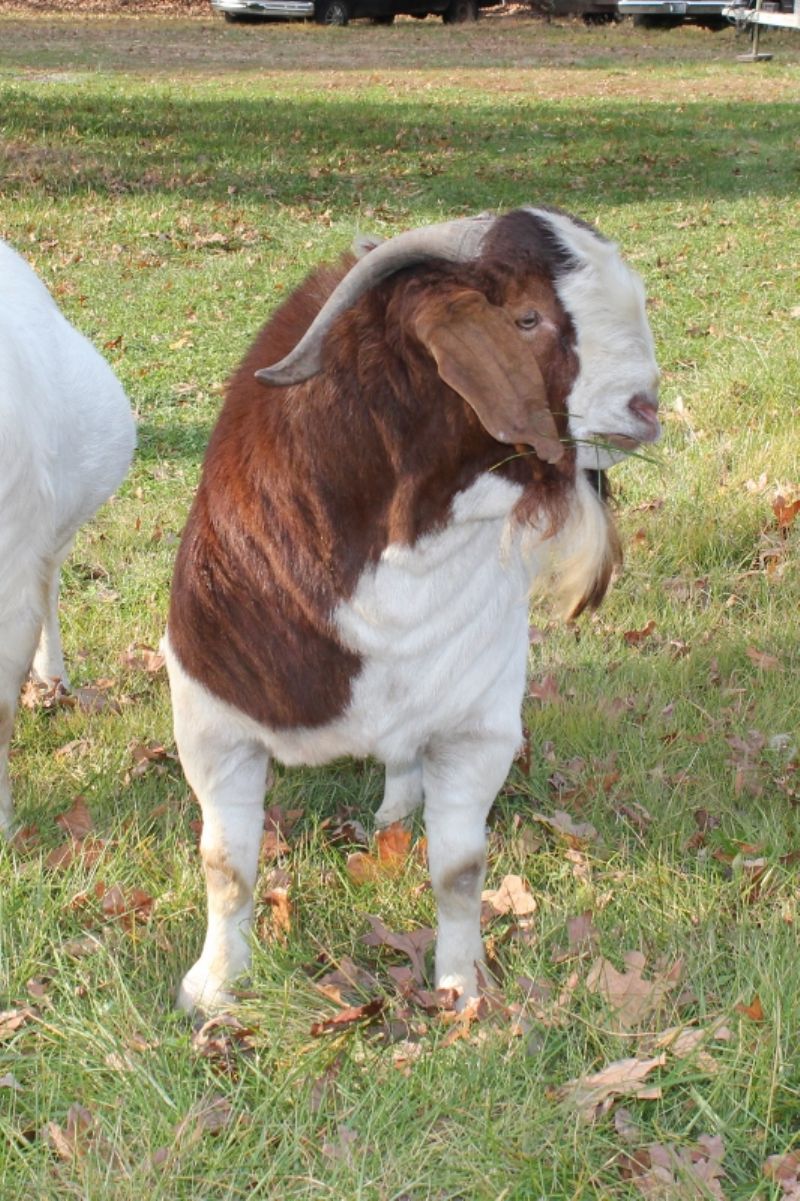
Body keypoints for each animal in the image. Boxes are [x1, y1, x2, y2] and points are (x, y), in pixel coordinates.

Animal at [164, 206, 658, 1013]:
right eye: (526, 316)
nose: (646, 408)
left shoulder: (478, 728)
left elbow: (459, 870)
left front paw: (462, 987)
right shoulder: (212, 721)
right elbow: (226, 864)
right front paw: (213, 986)